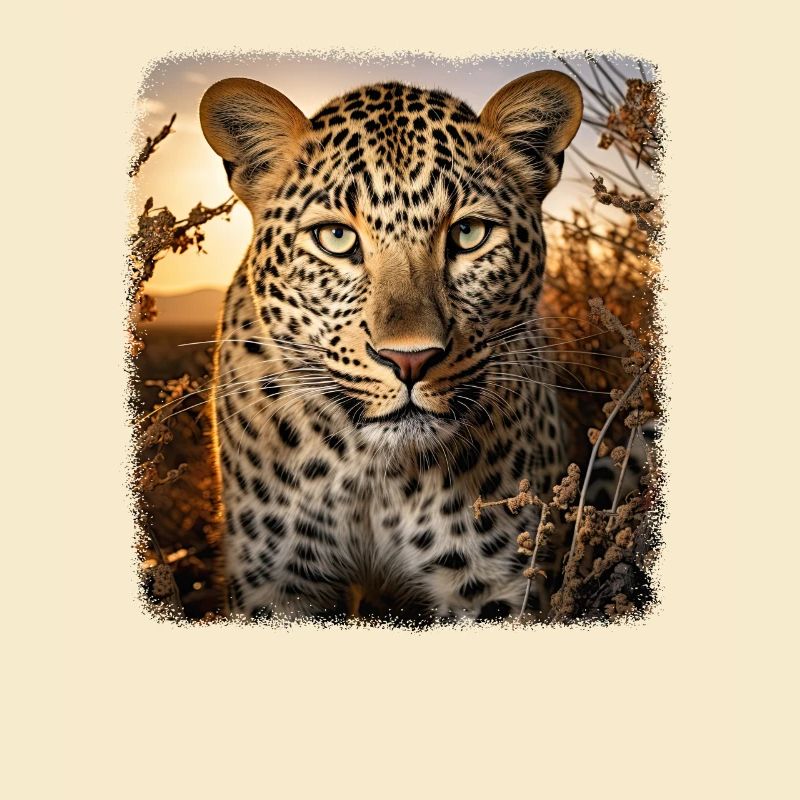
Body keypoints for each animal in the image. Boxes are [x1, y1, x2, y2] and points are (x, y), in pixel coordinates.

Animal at [199, 70, 584, 622]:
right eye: (336, 238)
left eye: (469, 233)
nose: (410, 359)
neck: (377, 478)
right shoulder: (278, 583)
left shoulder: (494, 583)